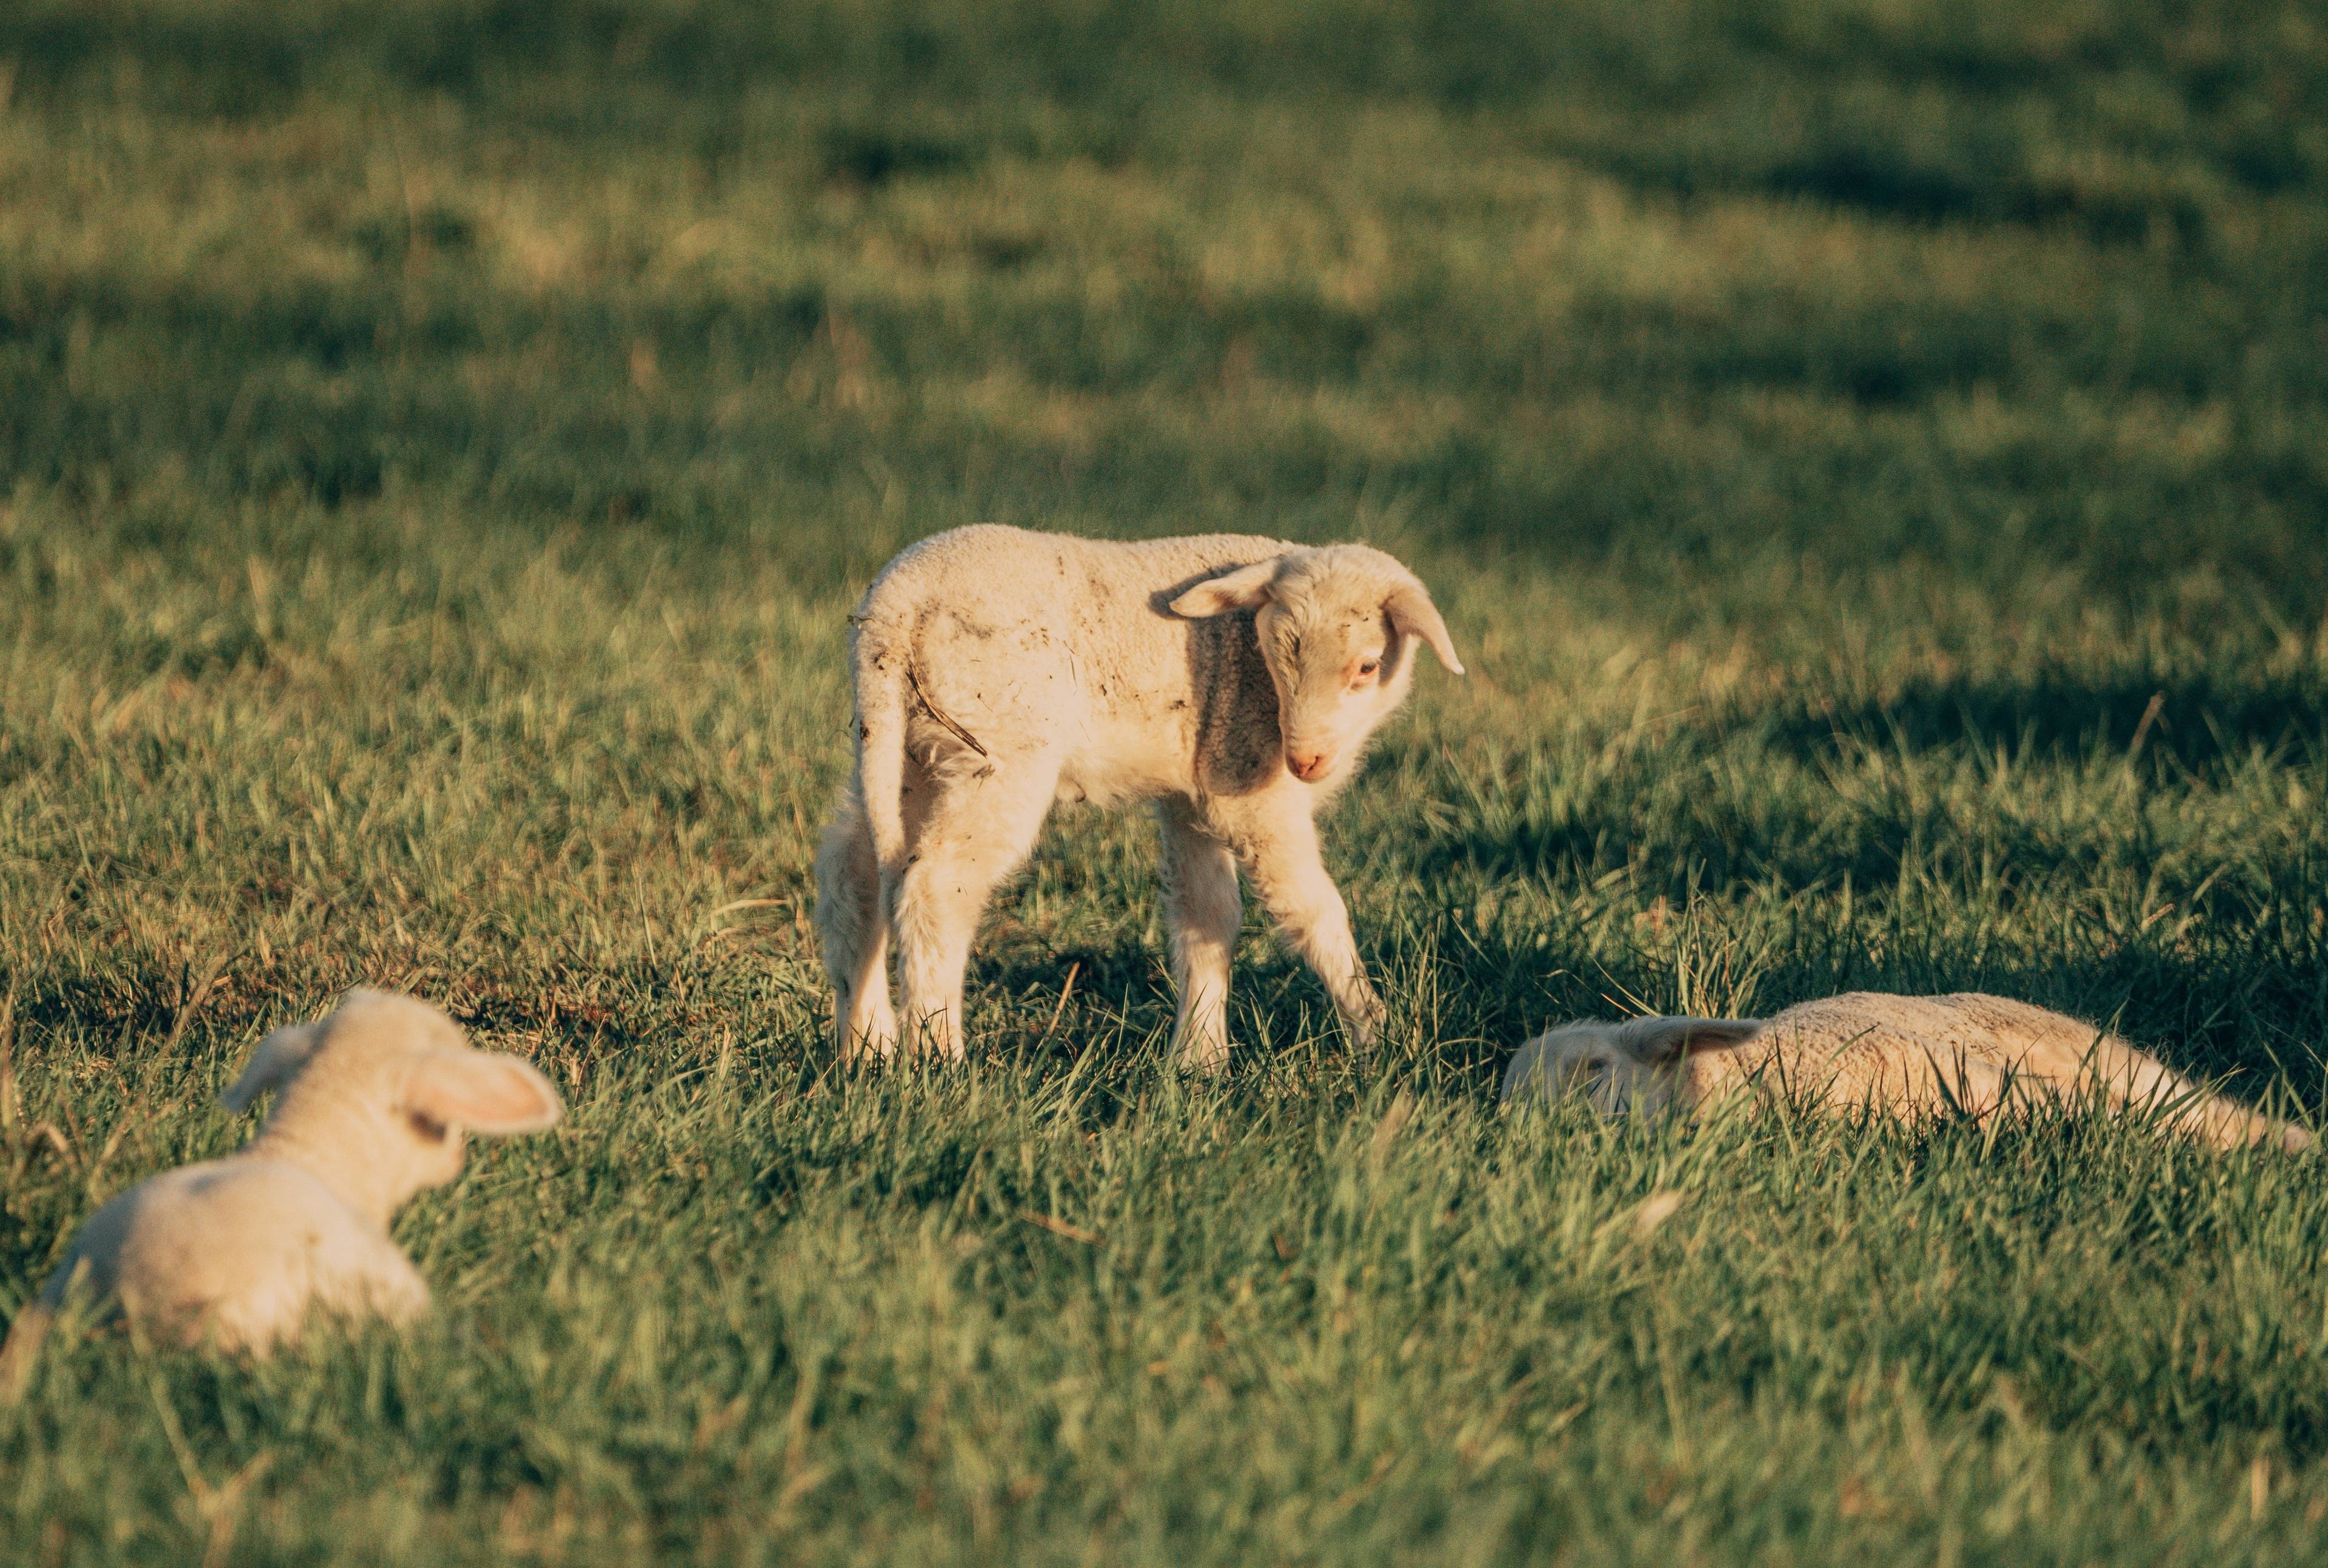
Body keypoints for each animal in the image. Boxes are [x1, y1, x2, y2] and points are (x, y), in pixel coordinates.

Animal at [819, 525, 1462, 1061]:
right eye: (1273, 656)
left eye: (1367, 666)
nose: (1305, 761)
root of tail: (895, 609)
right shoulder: (1249, 787)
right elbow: (1313, 911)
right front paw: (1381, 1037)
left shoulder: (1194, 790)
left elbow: (1207, 917)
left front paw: (1199, 1060)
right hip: (998, 744)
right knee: (936, 886)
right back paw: (940, 1056)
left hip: (903, 748)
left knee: (855, 875)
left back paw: (868, 1046)